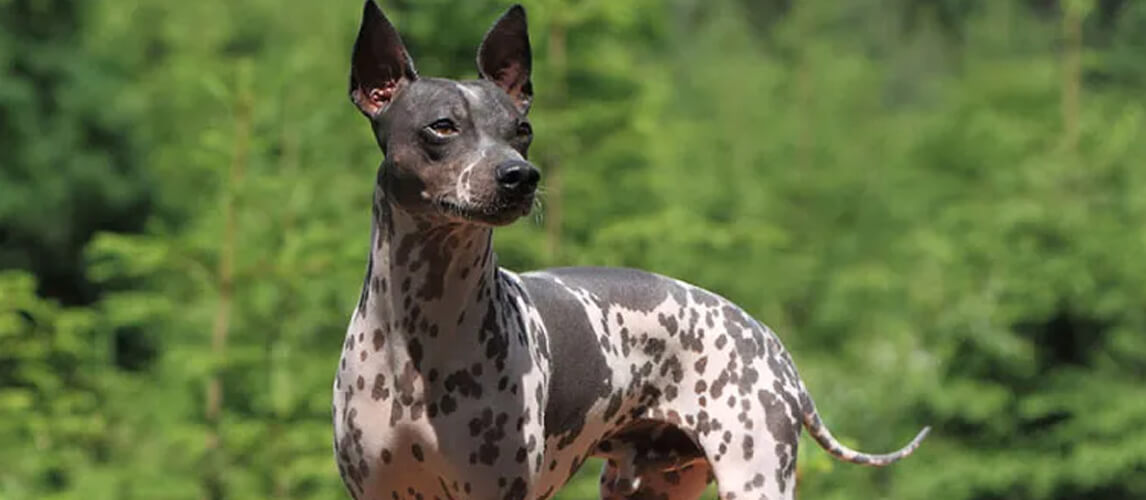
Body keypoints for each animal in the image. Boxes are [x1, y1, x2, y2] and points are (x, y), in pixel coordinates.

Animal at [334, 1, 930, 497]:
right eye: (442, 127)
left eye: (521, 129)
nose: (519, 176)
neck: (420, 332)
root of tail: (773, 346)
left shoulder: (496, 490)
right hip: (647, 485)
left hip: (754, 475)